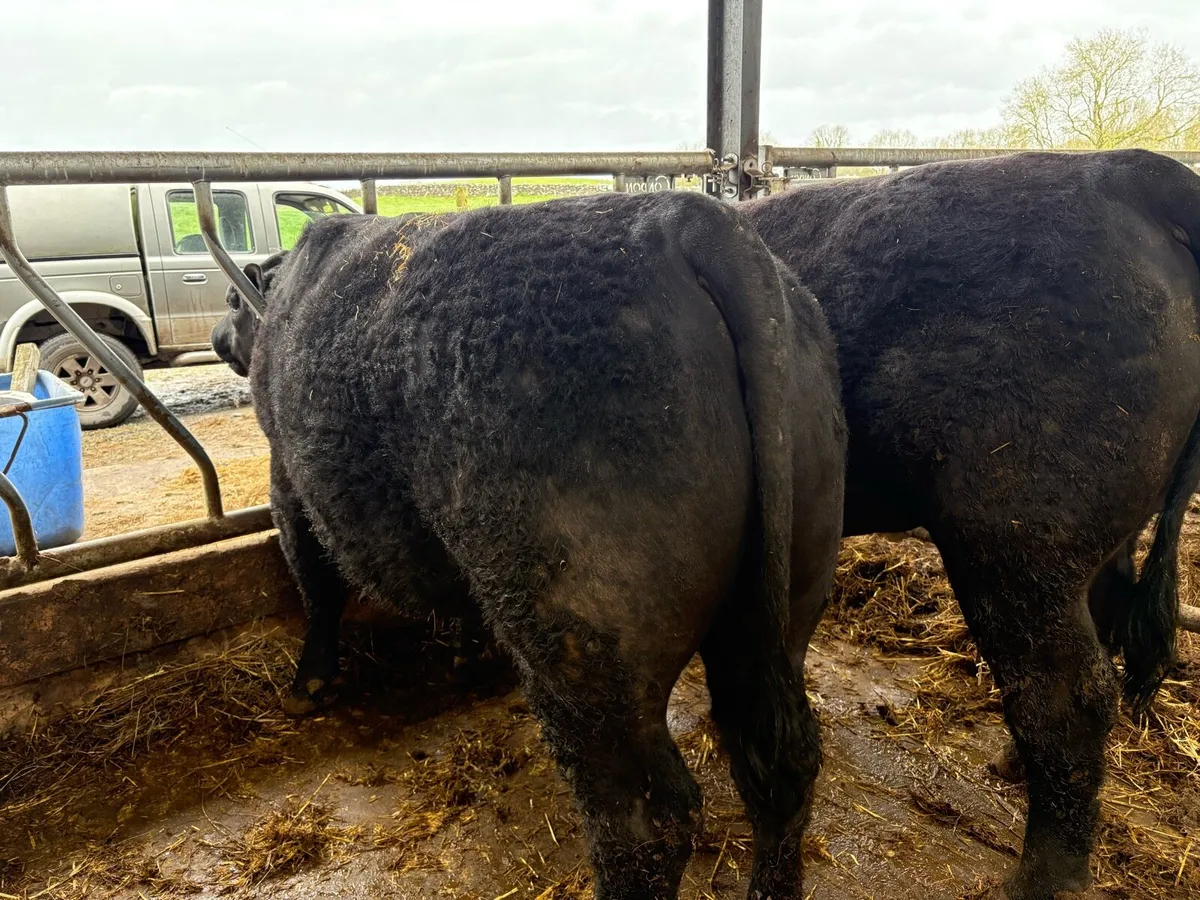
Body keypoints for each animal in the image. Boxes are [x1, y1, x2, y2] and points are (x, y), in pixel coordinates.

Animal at [211, 191, 848, 900]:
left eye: (231, 301)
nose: (214, 337)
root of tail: (690, 218)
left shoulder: (286, 471)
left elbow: (313, 578)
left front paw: (309, 684)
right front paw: (470, 656)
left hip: (587, 644)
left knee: (645, 820)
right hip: (782, 602)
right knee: (780, 764)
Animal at [742, 148, 1200, 900]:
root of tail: (1125, 171)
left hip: (1012, 538)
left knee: (1068, 697)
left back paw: (1040, 879)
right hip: (1088, 542)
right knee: (1101, 627)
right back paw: (1016, 769)